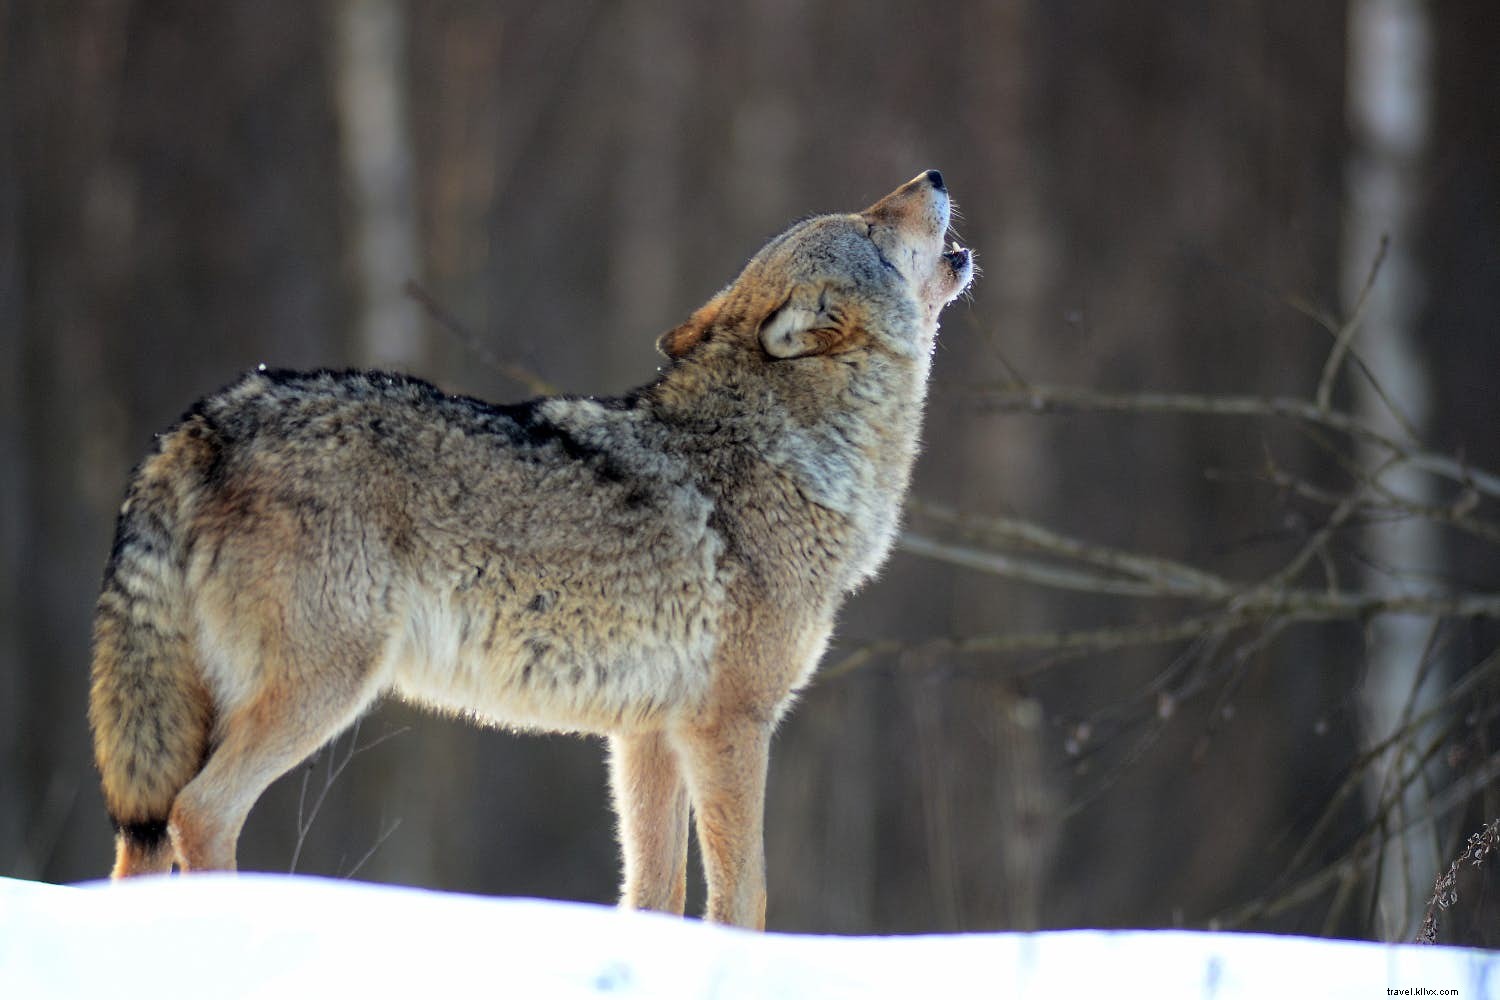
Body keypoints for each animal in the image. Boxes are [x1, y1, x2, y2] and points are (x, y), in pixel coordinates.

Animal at [89, 170, 974, 928]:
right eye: (872, 224)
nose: (931, 176)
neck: (789, 451)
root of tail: (207, 419)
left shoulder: (646, 735)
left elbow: (654, 892)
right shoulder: (731, 724)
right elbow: (743, 893)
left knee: (145, 839)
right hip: (325, 688)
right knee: (199, 812)